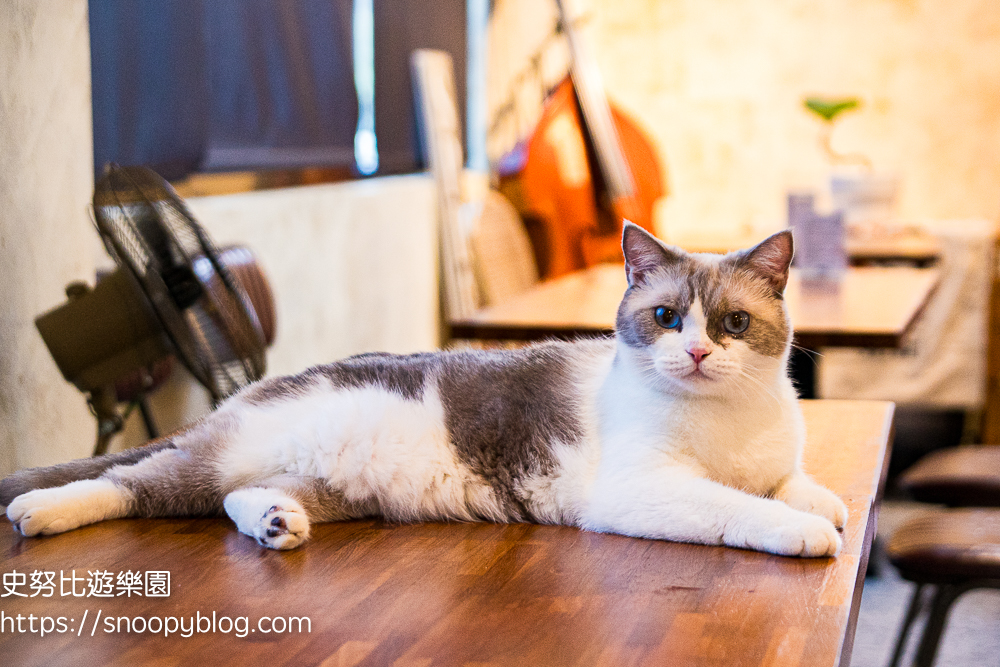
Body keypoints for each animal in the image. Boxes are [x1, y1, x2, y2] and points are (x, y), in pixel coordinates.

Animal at [0, 224, 848, 560]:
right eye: (667, 318)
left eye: (733, 322)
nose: (699, 351)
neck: (726, 420)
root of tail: (245, 392)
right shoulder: (642, 490)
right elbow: (741, 506)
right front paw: (805, 530)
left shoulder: (773, 458)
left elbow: (792, 482)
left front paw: (823, 503)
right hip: (217, 456)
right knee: (133, 480)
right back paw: (41, 510)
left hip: (329, 487)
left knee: (237, 496)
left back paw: (275, 522)